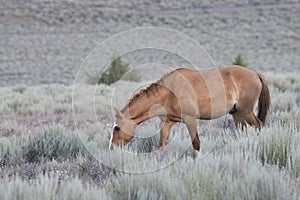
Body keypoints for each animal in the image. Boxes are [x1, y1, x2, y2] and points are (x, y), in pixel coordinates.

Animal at [109, 66, 270, 152]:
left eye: (117, 128)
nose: (112, 148)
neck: (169, 92)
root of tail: (255, 74)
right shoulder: (167, 122)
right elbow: (161, 144)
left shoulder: (190, 120)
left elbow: (196, 143)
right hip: (236, 114)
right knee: (243, 131)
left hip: (246, 112)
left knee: (259, 125)